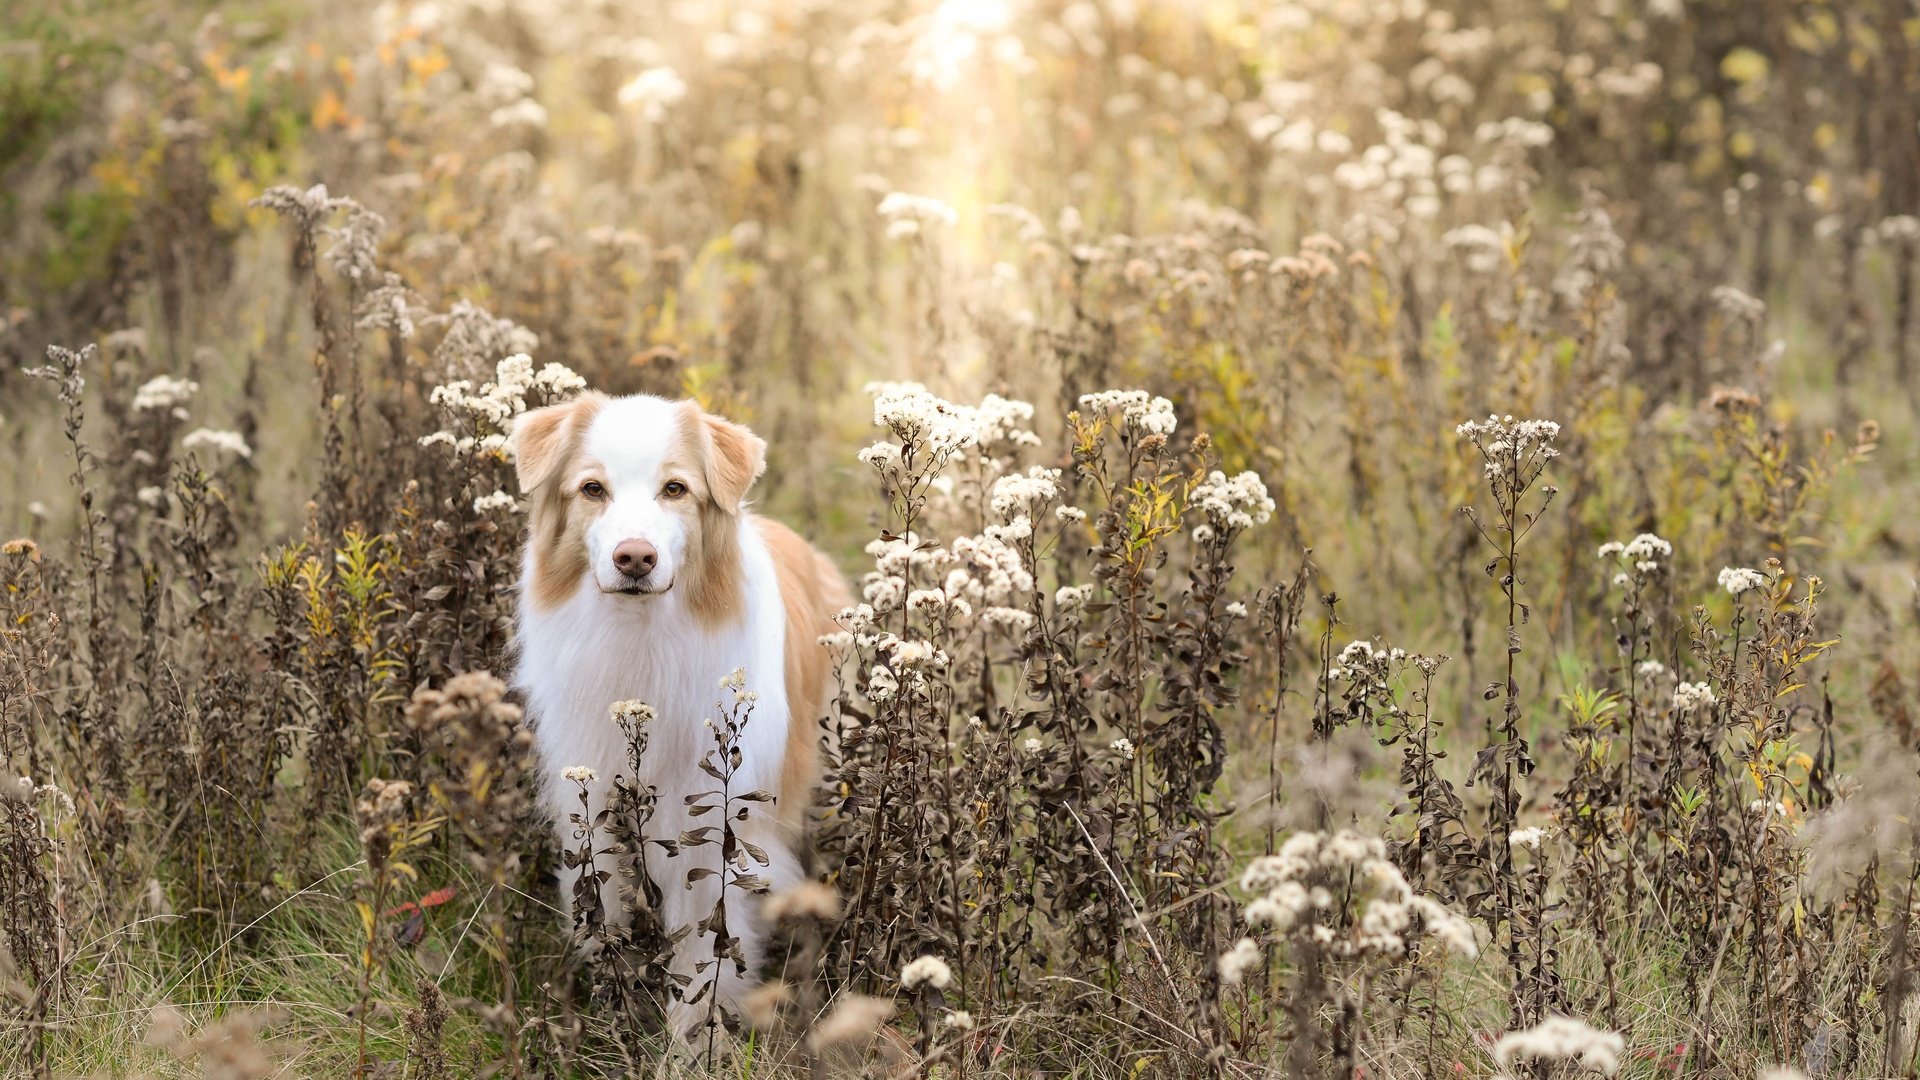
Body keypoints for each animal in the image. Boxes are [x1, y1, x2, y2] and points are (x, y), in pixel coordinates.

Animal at [510, 390, 848, 1030]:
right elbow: (606, 915)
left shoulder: (717, 833)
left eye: (675, 489)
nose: (634, 558)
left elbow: (705, 957)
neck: (641, 635)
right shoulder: (595, 806)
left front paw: (694, 1039)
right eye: (592, 489)